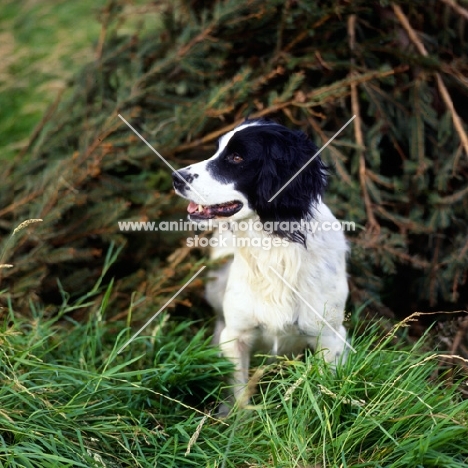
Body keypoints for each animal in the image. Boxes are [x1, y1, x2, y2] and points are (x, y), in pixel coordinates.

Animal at [172, 119, 348, 410]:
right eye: (217, 149)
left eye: (236, 157)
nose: (176, 177)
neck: (275, 246)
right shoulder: (235, 336)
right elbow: (240, 397)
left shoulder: (331, 337)